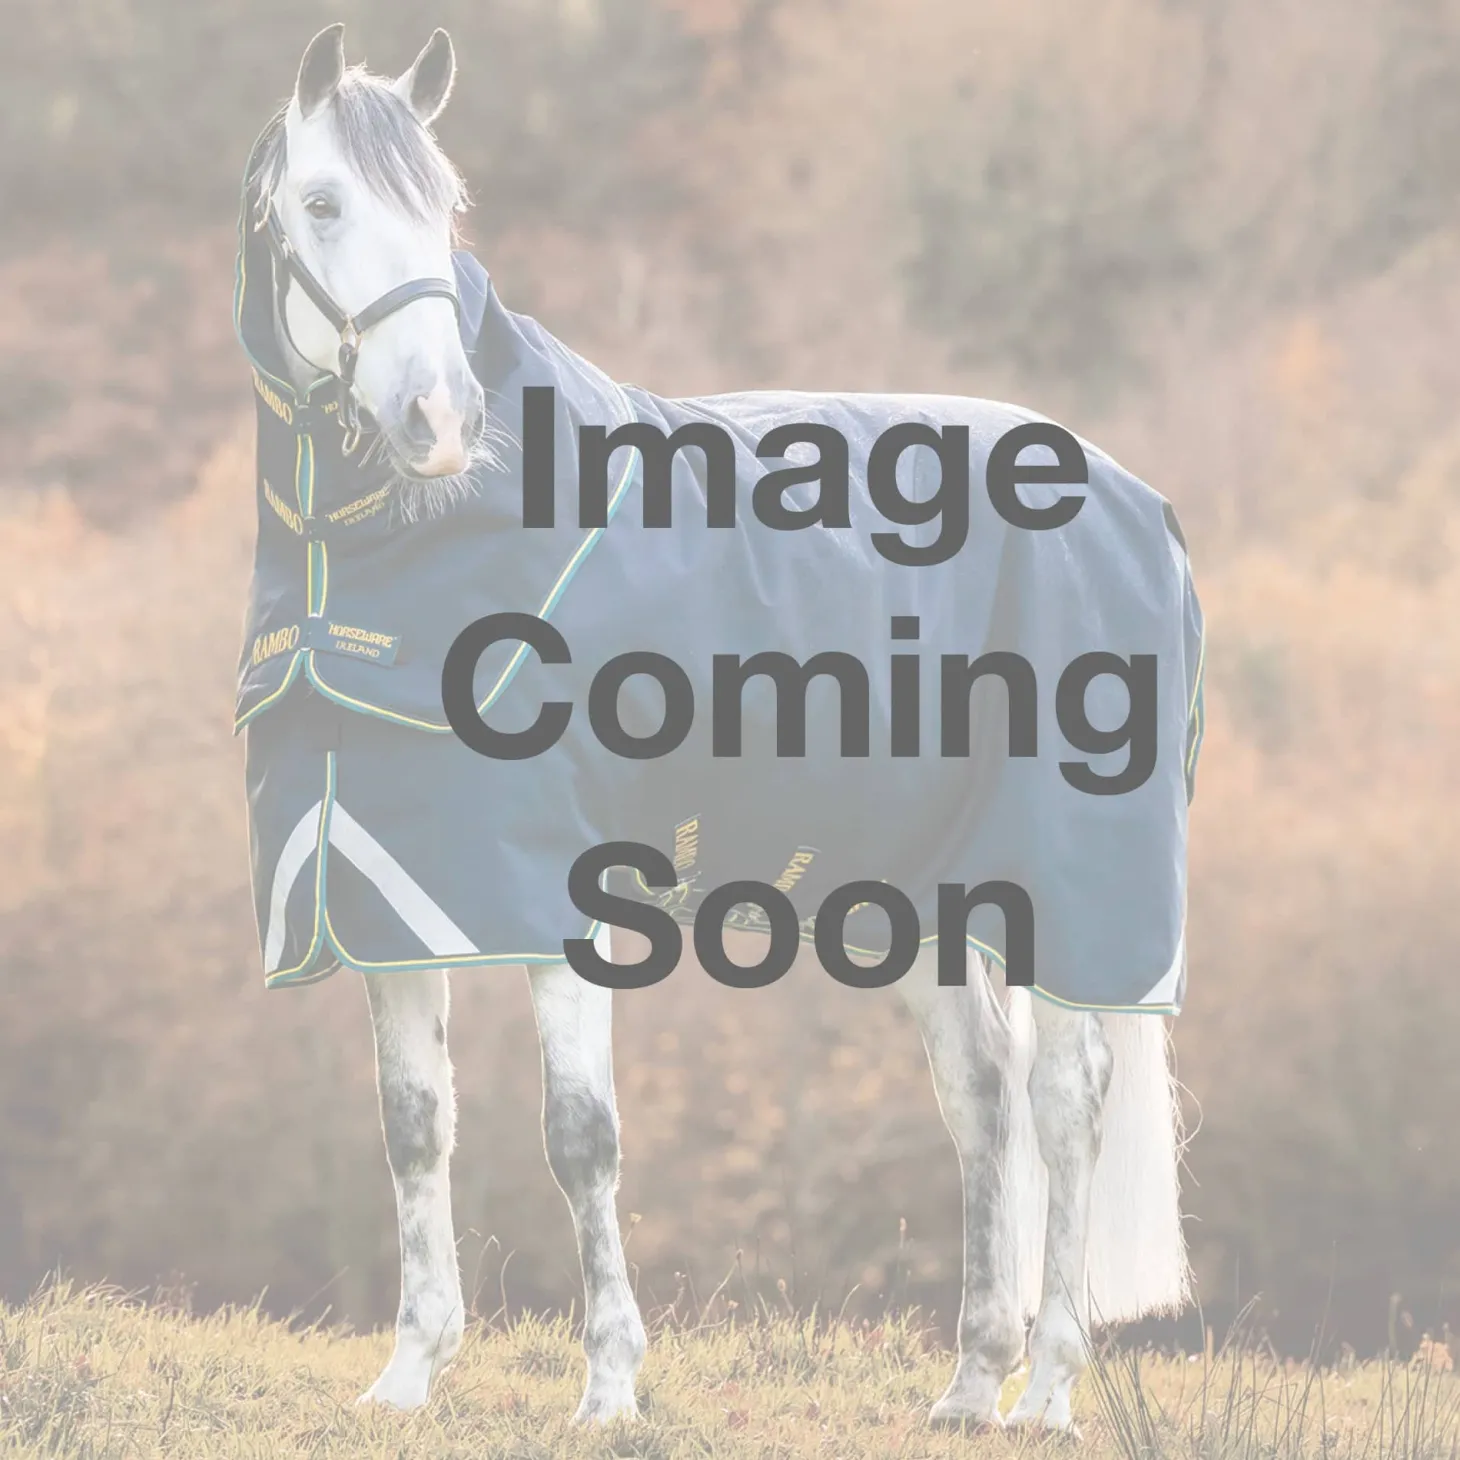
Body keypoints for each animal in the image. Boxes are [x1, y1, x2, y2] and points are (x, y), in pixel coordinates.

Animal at [234, 23, 1194, 1434]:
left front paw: (608, 1384)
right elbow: (414, 1124)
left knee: (1064, 1104)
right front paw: (408, 1373)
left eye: (444, 208)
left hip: (1067, 885)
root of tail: (1136, 501)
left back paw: (1049, 1389)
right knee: (981, 1104)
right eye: (320, 204)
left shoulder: (553, 897)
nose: (437, 421)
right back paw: (969, 1381)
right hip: (929, 893)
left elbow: (581, 1136)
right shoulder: (390, 892)